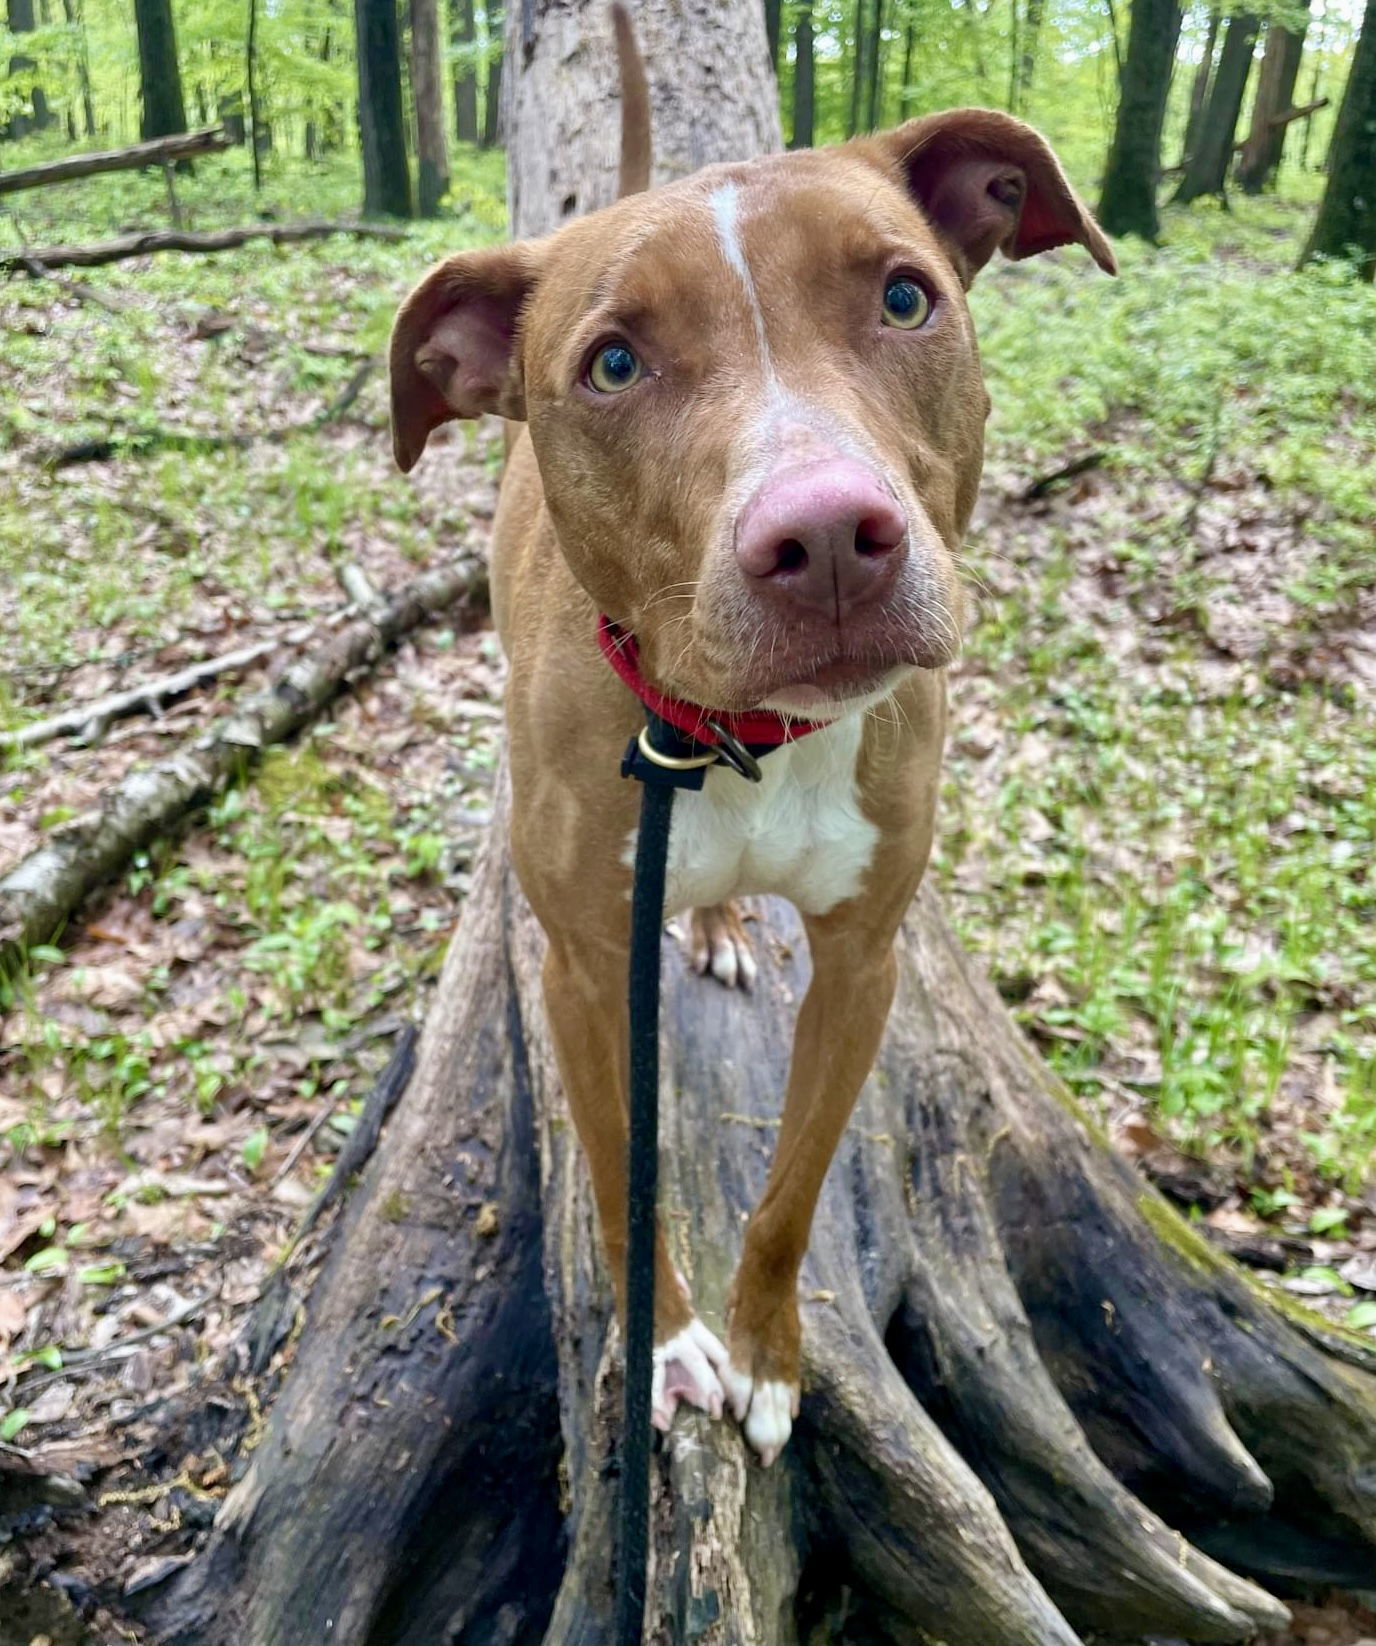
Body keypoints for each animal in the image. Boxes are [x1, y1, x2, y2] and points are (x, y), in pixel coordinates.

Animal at [390, 12, 1119, 1461]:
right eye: (613, 363)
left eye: (903, 298)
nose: (827, 534)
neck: (736, 737)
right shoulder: (583, 972)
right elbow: (624, 1183)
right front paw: (672, 1343)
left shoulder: (862, 965)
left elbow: (788, 1194)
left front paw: (774, 1354)